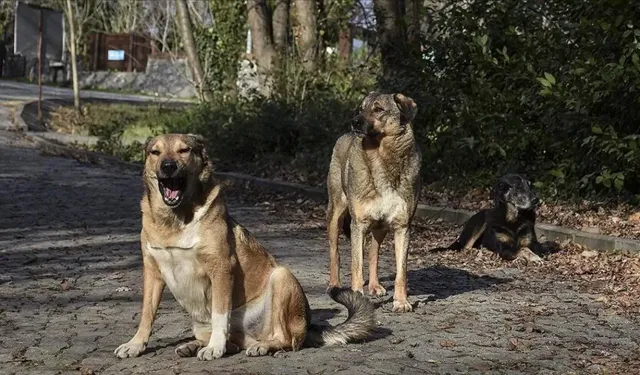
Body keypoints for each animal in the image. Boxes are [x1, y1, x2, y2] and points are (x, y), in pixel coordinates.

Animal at [114, 134, 376, 362]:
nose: (167, 166)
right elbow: (147, 314)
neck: (175, 220)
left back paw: (260, 347)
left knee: (285, 339)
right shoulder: (152, 272)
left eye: (184, 150)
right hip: (200, 323)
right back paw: (194, 345)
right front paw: (135, 344)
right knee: (234, 343)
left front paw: (215, 348)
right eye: (155, 152)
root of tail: (309, 325)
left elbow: (220, 315)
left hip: (281, 277)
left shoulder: (221, 269)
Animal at [328, 92, 422, 312]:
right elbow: (356, 265)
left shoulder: (402, 227)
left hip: (380, 227)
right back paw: (334, 285)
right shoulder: (358, 225)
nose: (354, 121)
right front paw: (356, 297)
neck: (382, 157)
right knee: (335, 251)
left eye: (378, 109)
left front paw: (401, 301)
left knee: (374, 253)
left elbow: (401, 272)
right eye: (360, 108)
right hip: (336, 214)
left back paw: (374, 285)